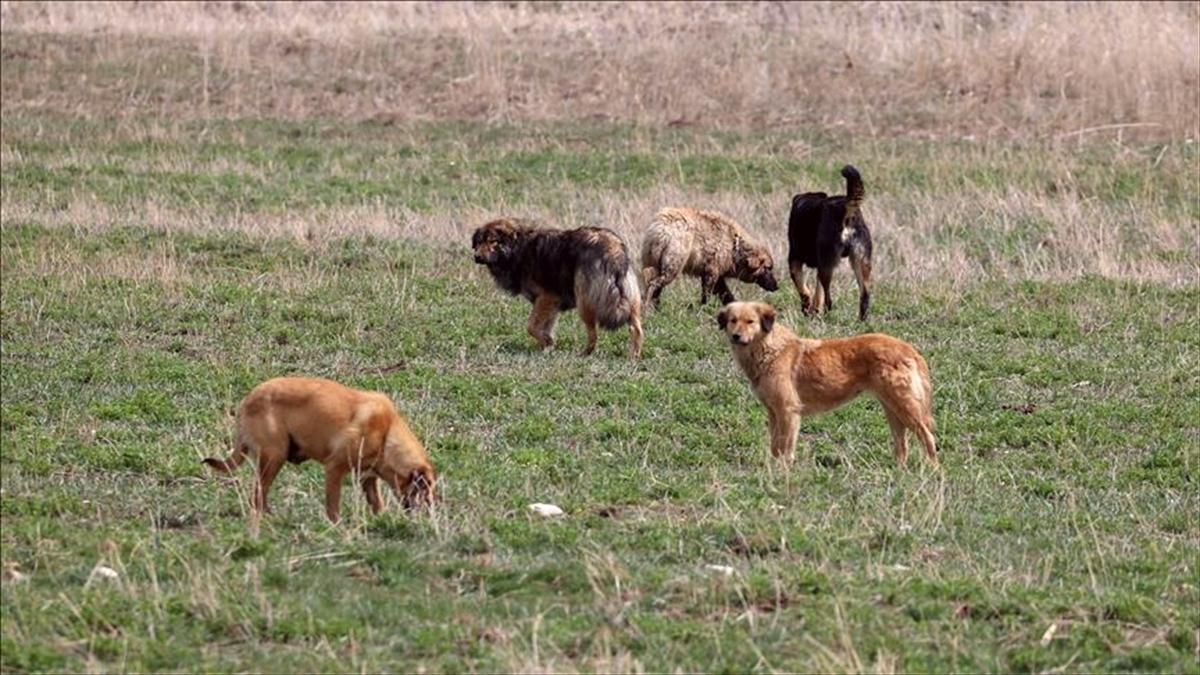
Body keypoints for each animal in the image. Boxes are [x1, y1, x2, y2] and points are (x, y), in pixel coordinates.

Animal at [204, 374, 439, 523]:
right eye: (425, 489)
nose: (433, 512)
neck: (387, 433)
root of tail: (247, 400)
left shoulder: (367, 477)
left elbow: (377, 504)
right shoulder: (334, 468)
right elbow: (333, 505)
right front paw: (336, 526)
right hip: (274, 457)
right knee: (257, 496)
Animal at [470, 220, 648, 357]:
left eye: (493, 241)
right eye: (479, 242)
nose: (476, 257)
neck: (518, 249)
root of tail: (613, 248)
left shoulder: (547, 298)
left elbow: (531, 327)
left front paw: (547, 343)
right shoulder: (551, 305)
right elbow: (544, 327)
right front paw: (547, 348)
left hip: (584, 302)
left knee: (593, 333)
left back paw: (585, 353)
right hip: (630, 300)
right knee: (636, 329)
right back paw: (634, 356)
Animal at [715, 302, 931, 466]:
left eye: (750, 321)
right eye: (733, 321)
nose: (735, 336)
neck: (769, 349)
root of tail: (908, 349)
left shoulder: (788, 411)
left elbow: (785, 446)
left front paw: (783, 471)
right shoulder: (774, 412)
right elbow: (775, 446)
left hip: (905, 407)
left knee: (928, 436)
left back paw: (932, 469)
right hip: (892, 409)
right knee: (902, 445)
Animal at [787, 164, 873, 319]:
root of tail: (846, 209)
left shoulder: (794, 259)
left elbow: (803, 289)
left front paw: (807, 308)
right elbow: (817, 292)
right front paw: (813, 310)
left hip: (827, 264)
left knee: (829, 298)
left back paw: (828, 315)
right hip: (861, 262)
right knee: (865, 295)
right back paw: (861, 320)